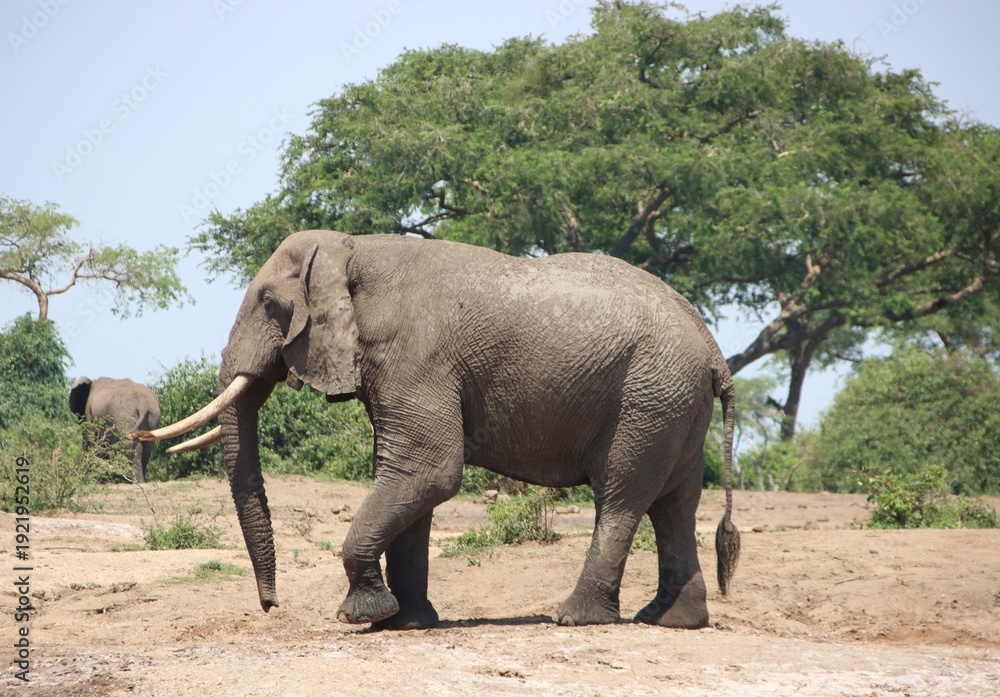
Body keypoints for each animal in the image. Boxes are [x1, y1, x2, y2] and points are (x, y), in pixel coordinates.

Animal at [136, 229, 740, 630]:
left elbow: (428, 470)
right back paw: (670, 620)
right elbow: (408, 480)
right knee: (675, 503)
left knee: (621, 497)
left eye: (269, 303)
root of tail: (715, 352)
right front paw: (407, 623)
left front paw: (361, 616)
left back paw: (576, 618)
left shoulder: (416, 358)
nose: (270, 606)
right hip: (672, 402)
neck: (352, 248)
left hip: (647, 396)